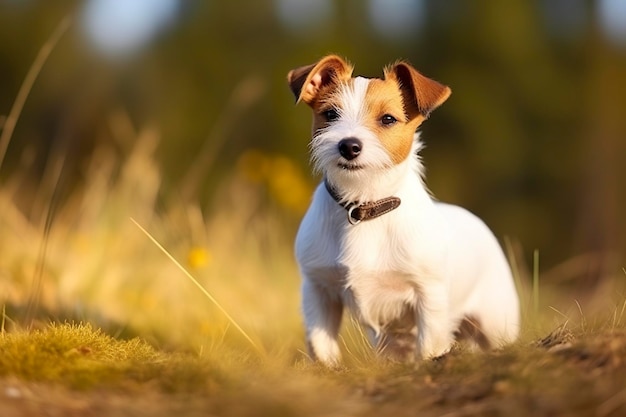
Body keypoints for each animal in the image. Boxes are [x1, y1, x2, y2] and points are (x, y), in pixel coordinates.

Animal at [286, 54, 516, 364]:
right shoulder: (318, 290)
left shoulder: (428, 296)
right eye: (331, 114)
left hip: (496, 322)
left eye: (388, 119)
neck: (364, 206)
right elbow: (321, 346)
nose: (349, 146)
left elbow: (429, 346)